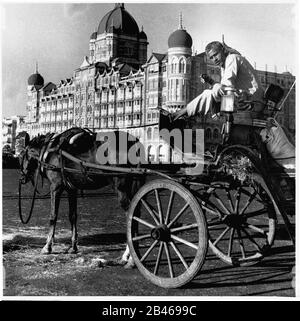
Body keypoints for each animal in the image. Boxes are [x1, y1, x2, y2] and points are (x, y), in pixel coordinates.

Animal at [18, 126, 145, 266]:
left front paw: (48, 246)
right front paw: (73, 247)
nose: (22, 178)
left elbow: (53, 216)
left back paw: (129, 256)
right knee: (136, 212)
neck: (49, 151)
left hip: (121, 187)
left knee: (131, 214)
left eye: (20, 156)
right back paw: (133, 254)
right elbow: (73, 216)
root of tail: (134, 143)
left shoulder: (56, 186)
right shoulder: (71, 189)